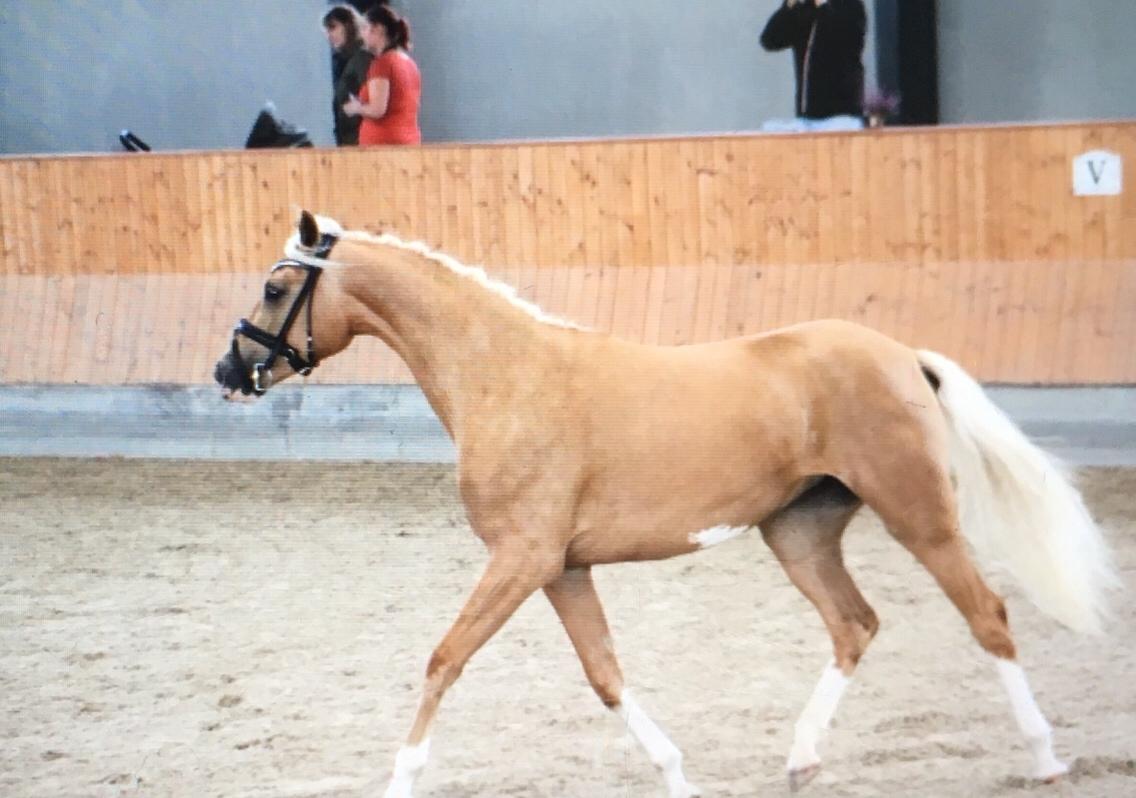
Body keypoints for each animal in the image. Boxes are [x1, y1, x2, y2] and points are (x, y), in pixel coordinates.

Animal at [211, 209, 1108, 795]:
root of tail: (900, 354)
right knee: (855, 625)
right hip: (800, 532)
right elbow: (606, 676)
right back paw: (801, 758)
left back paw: (1044, 758)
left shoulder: (521, 559)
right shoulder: (560, 569)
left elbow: (443, 661)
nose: (227, 371)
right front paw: (677, 774)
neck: (506, 377)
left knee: (988, 615)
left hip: (917, 515)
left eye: (276, 286)